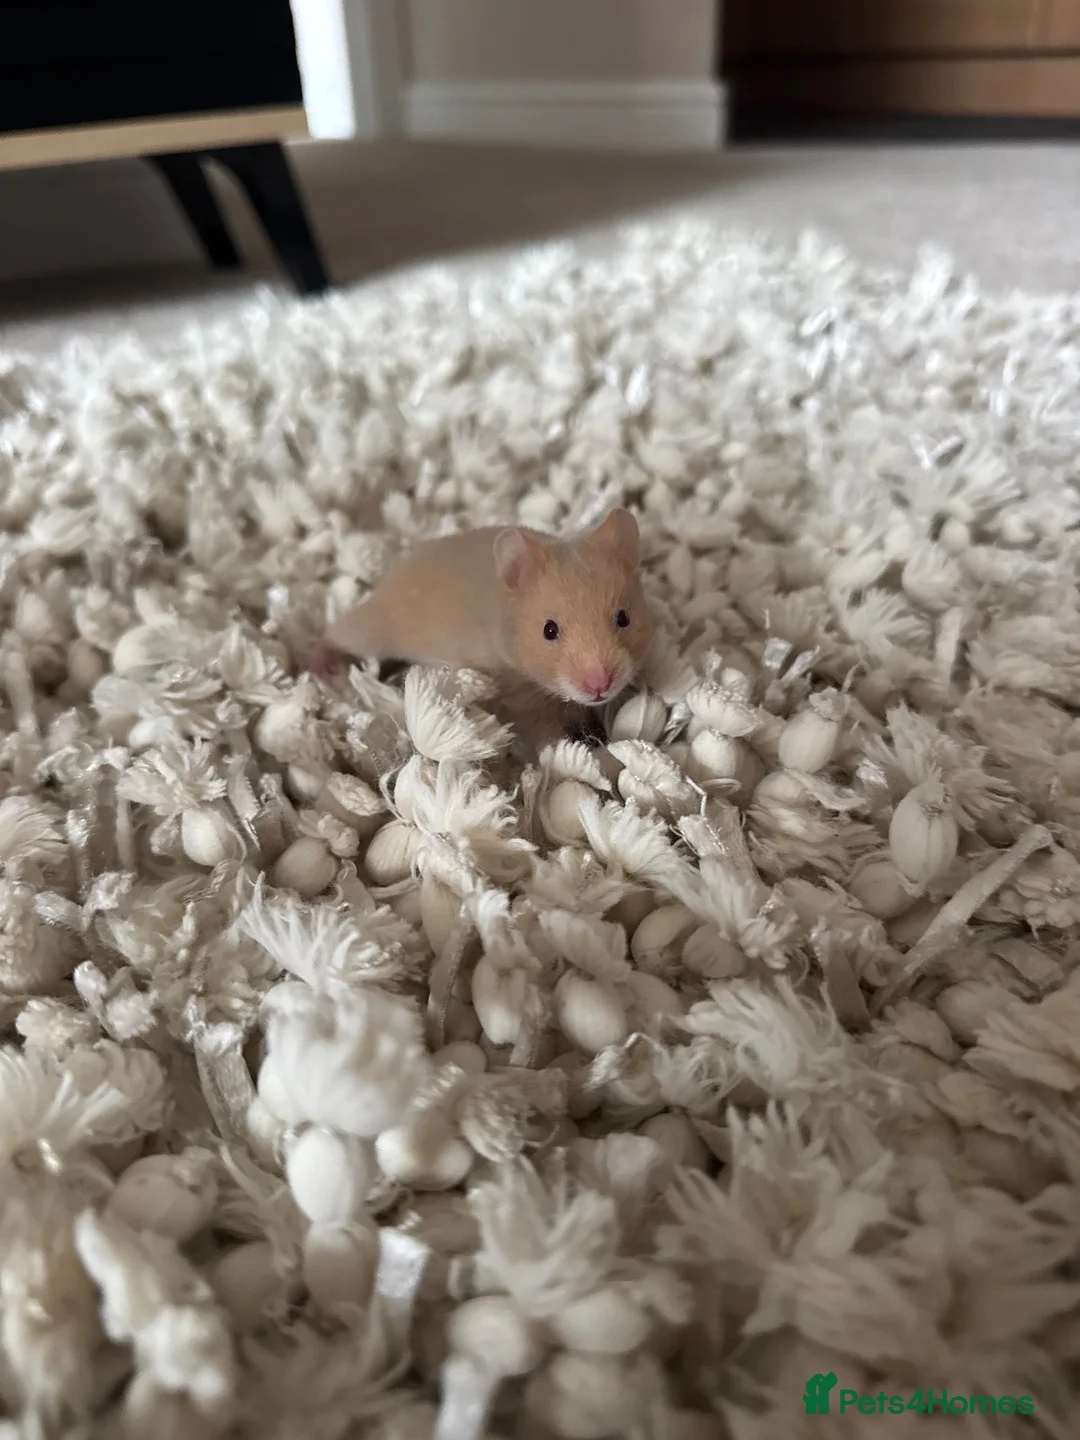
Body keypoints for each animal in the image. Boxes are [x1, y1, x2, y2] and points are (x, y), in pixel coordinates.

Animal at [306, 507, 652, 751]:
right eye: (549, 630)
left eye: (624, 618)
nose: (600, 686)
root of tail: (397, 570)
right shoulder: (522, 703)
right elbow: (547, 738)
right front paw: (577, 755)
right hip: (377, 628)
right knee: (337, 632)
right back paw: (324, 670)